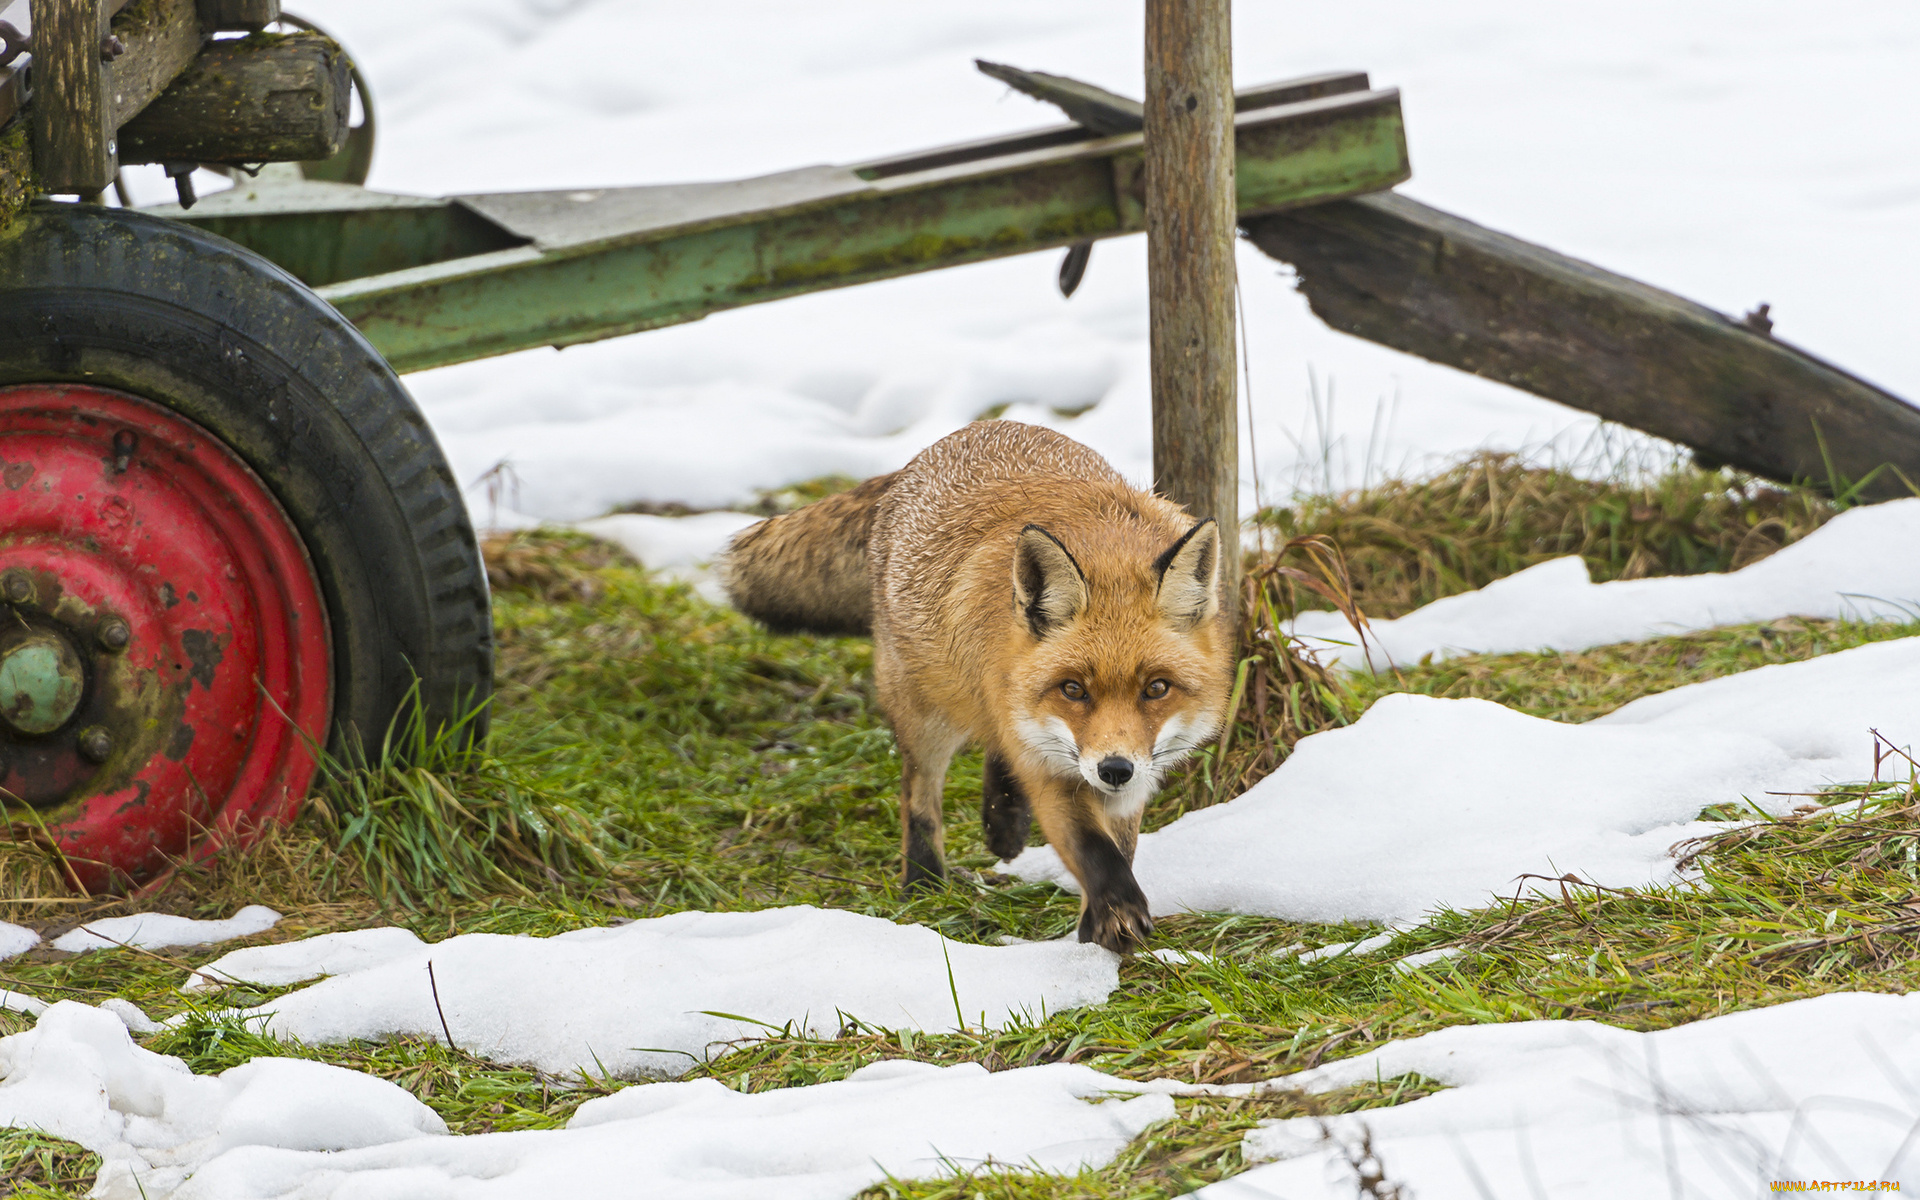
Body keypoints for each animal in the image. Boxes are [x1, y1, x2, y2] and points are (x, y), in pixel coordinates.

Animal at [718, 418, 1228, 944]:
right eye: (1073, 689)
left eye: (1156, 688)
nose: (1114, 769)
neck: (1107, 543)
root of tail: (968, 432)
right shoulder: (1050, 769)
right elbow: (1095, 850)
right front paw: (1116, 912)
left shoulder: (1120, 773)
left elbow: (1119, 847)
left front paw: (1092, 927)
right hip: (924, 713)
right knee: (919, 793)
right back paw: (923, 884)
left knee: (994, 747)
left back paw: (1002, 825)